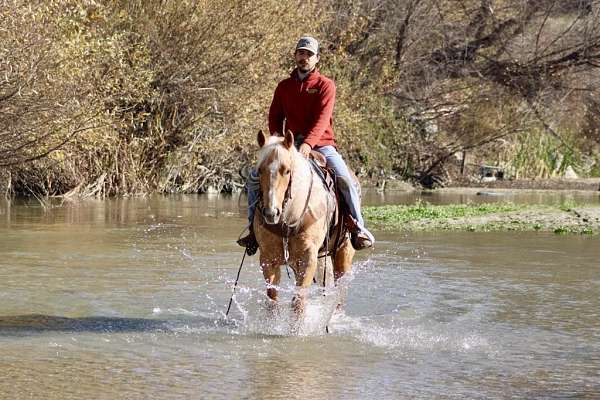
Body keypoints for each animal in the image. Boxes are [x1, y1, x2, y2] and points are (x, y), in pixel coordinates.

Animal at [252, 130, 354, 320]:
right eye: (260, 170)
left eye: (286, 170)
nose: (271, 213)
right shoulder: (268, 260)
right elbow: (272, 301)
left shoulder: (308, 259)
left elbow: (298, 303)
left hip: (343, 252)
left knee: (340, 291)